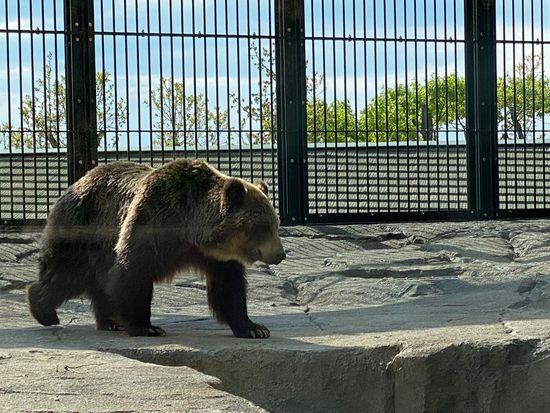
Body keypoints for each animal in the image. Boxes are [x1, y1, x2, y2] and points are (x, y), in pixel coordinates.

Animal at [26, 159, 286, 338]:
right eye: (262, 226)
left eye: (275, 223)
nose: (280, 254)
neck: (190, 229)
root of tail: (75, 184)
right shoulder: (152, 222)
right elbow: (133, 273)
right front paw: (147, 327)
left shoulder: (214, 256)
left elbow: (229, 287)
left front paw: (254, 328)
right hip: (82, 233)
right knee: (66, 275)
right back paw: (44, 309)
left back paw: (110, 321)